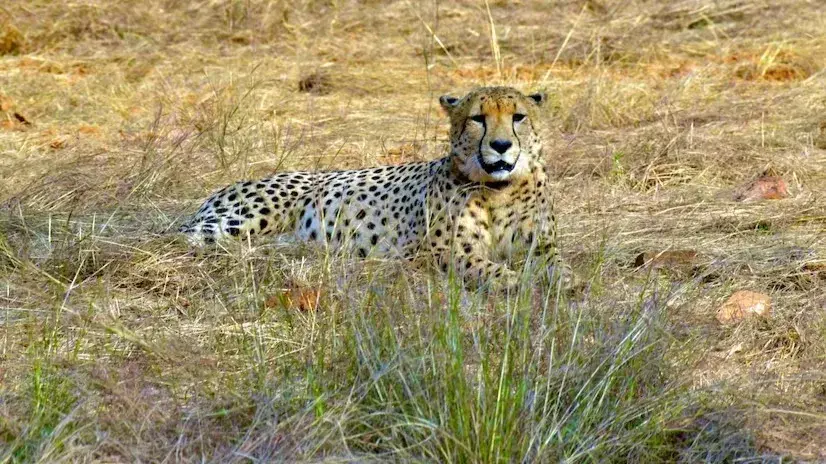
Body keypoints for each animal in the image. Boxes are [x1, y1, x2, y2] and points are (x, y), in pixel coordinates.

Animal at [179, 86, 562, 288]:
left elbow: (558, 266)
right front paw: (518, 283)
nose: (501, 146)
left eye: (518, 117)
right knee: (180, 238)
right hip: (239, 221)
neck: (499, 189)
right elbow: (486, 267)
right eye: (478, 119)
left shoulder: (541, 244)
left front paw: (561, 284)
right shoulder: (438, 252)